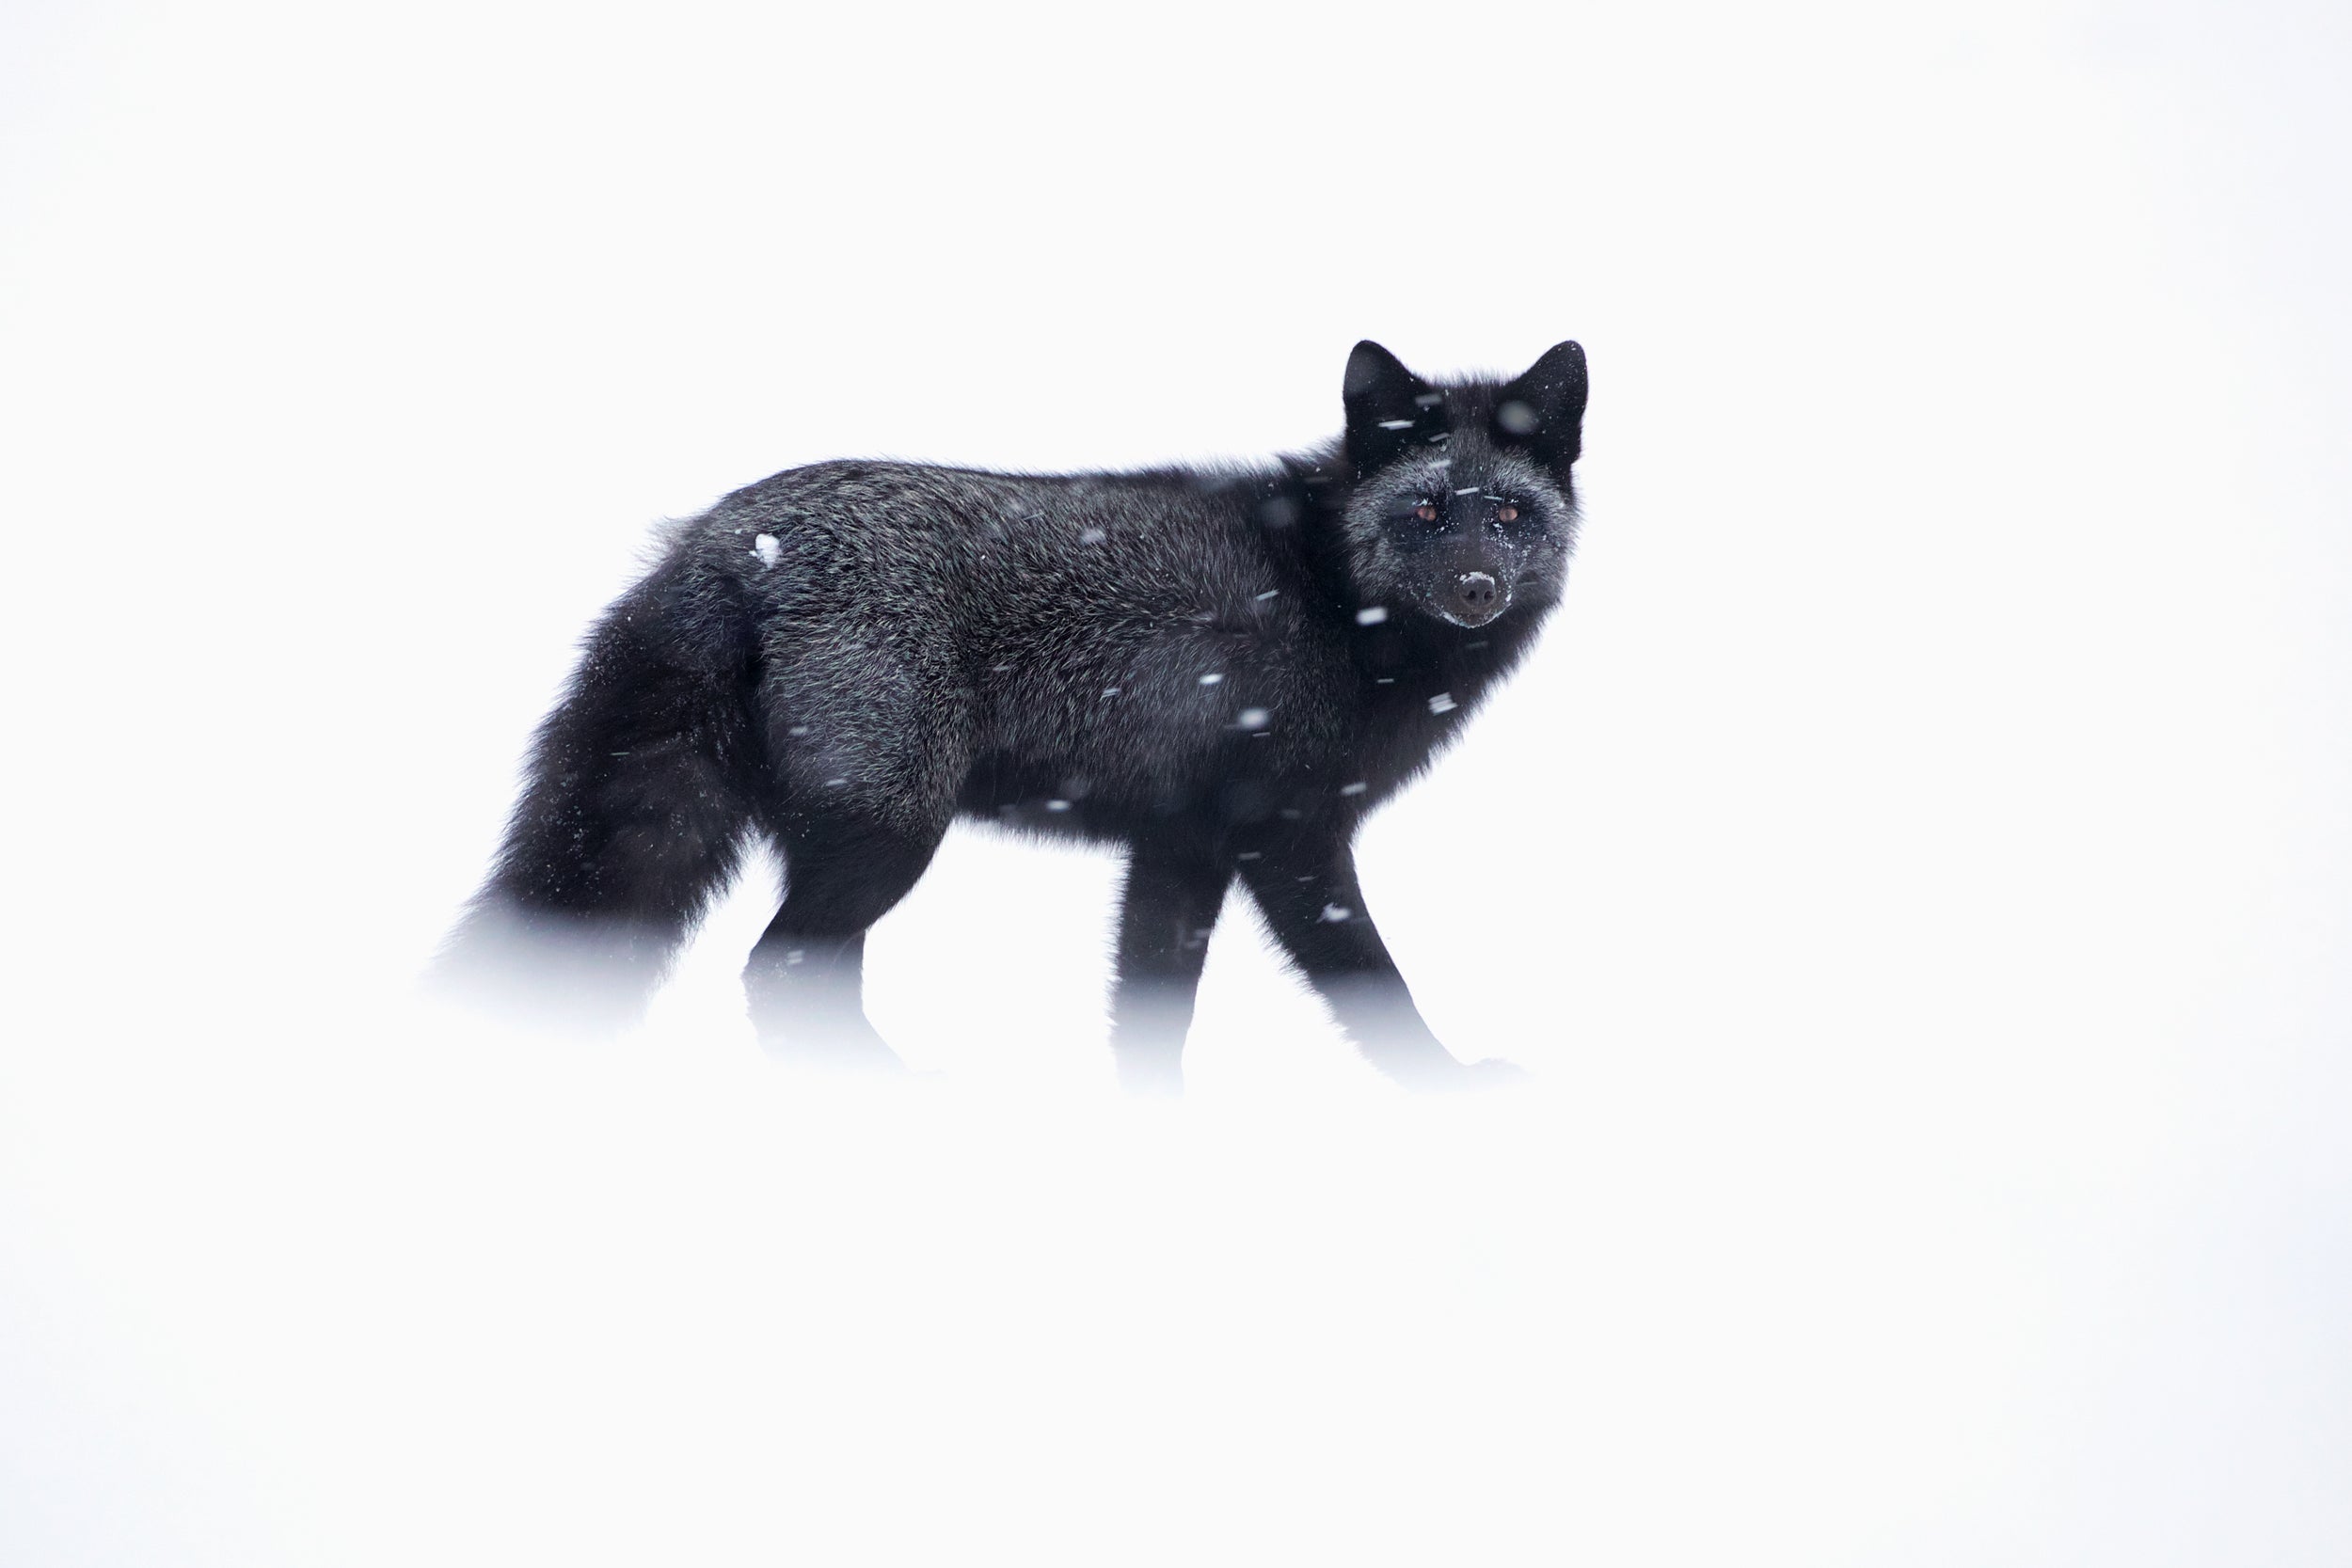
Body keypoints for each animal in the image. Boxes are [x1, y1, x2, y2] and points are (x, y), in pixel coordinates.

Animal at [432, 339, 1589, 1091]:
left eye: (1510, 511)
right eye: (1427, 509)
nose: (1478, 585)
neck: (1332, 600)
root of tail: (722, 542)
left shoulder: (1182, 843)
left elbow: (1152, 1009)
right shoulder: (1291, 834)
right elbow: (1373, 985)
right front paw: (1443, 1086)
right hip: (889, 835)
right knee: (782, 969)